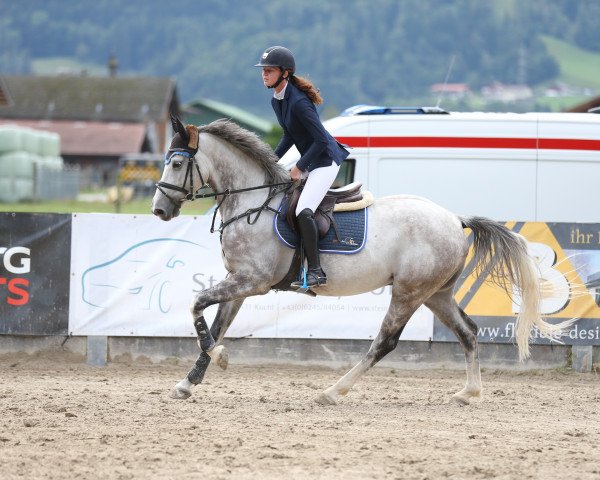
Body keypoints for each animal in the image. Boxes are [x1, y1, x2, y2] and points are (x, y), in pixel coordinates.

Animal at [151, 116, 572, 404]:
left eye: (176, 164)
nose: (158, 210)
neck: (253, 201)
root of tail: (455, 219)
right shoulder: (240, 282)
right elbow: (215, 324)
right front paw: (188, 382)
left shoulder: (252, 281)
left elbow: (197, 305)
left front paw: (219, 359)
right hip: (435, 294)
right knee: (468, 332)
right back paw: (469, 393)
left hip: (408, 292)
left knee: (385, 342)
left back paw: (333, 391)